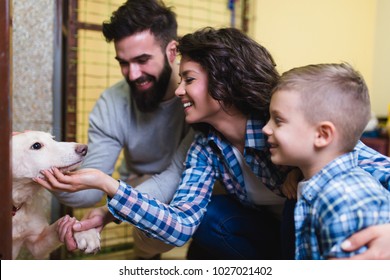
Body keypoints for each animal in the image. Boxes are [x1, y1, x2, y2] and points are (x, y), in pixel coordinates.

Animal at [12, 130, 100, 260]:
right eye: (36, 145)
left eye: (53, 139)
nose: (84, 148)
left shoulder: (37, 245)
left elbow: (60, 223)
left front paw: (84, 232)